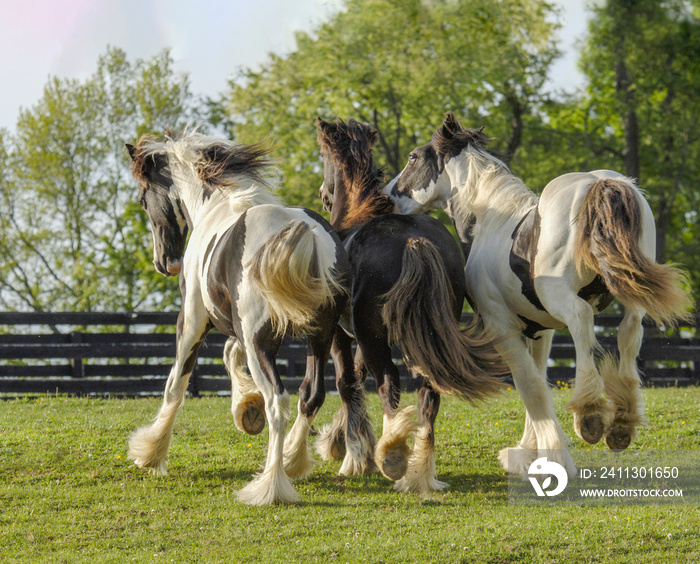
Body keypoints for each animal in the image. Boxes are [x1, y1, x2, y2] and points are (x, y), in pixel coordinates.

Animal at [126, 132, 350, 506]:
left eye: (143, 199)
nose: (164, 262)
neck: (216, 206)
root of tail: (304, 235)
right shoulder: (239, 329)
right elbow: (229, 355)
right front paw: (246, 410)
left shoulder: (193, 320)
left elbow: (176, 385)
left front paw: (150, 452)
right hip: (319, 338)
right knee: (310, 395)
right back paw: (292, 460)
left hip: (261, 344)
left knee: (278, 400)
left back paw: (270, 486)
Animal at [316, 119, 504, 494]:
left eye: (323, 157)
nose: (322, 193)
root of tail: (414, 241)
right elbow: (356, 380)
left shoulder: (344, 335)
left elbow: (346, 383)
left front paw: (351, 457)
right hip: (423, 336)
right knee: (429, 394)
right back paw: (421, 472)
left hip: (376, 339)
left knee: (389, 383)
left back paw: (392, 454)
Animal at [386, 113, 692, 476]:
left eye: (413, 158)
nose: (387, 196)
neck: (489, 221)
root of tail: (601, 183)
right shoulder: (540, 331)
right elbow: (539, 378)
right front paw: (529, 450)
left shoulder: (501, 326)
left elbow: (529, 385)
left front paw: (550, 455)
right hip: (630, 296)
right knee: (629, 332)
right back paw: (622, 422)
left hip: (560, 295)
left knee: (582, 320)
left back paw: (589, 413)